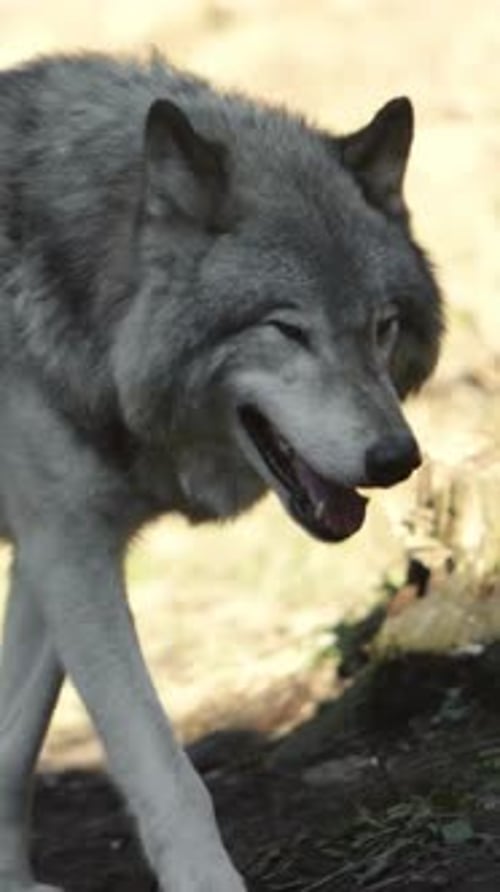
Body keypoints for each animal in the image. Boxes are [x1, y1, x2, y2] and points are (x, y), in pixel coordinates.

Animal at [0, 52, 442, 891]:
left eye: (382, 326)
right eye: (287, 329)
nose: (396, 459)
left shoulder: (52, 549)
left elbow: (12, 744)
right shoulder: (71, 553)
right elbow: (162, 768)